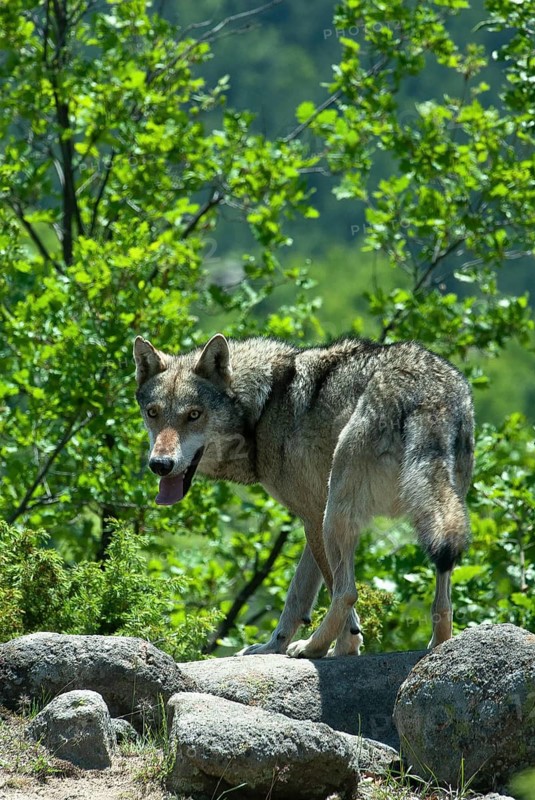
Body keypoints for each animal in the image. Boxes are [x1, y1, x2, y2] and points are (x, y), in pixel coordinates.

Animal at [134, 333, 474, 658]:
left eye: (194, 415)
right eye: (153, 413)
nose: (160, 464)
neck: (263, 406)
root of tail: (426, 395)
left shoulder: (313, 517)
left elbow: (325, 595)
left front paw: (338, 648)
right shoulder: (313, 517)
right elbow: (297, 596)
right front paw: (273, 647)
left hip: (336, 517)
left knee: (347, 591)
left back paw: (311, 647)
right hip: (433, 513)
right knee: (443, 596)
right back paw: (438, 646)